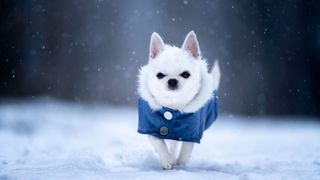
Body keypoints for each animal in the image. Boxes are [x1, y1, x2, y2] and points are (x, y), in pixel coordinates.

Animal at [136, 30, 221, 169]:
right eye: (160, 75)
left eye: (186, 74)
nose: (172, 81)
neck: (173, 106)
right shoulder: (149, 126)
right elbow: (159, 143)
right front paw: (166, 160)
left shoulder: (192, 133)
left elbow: (186, 149)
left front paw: (180, 164)